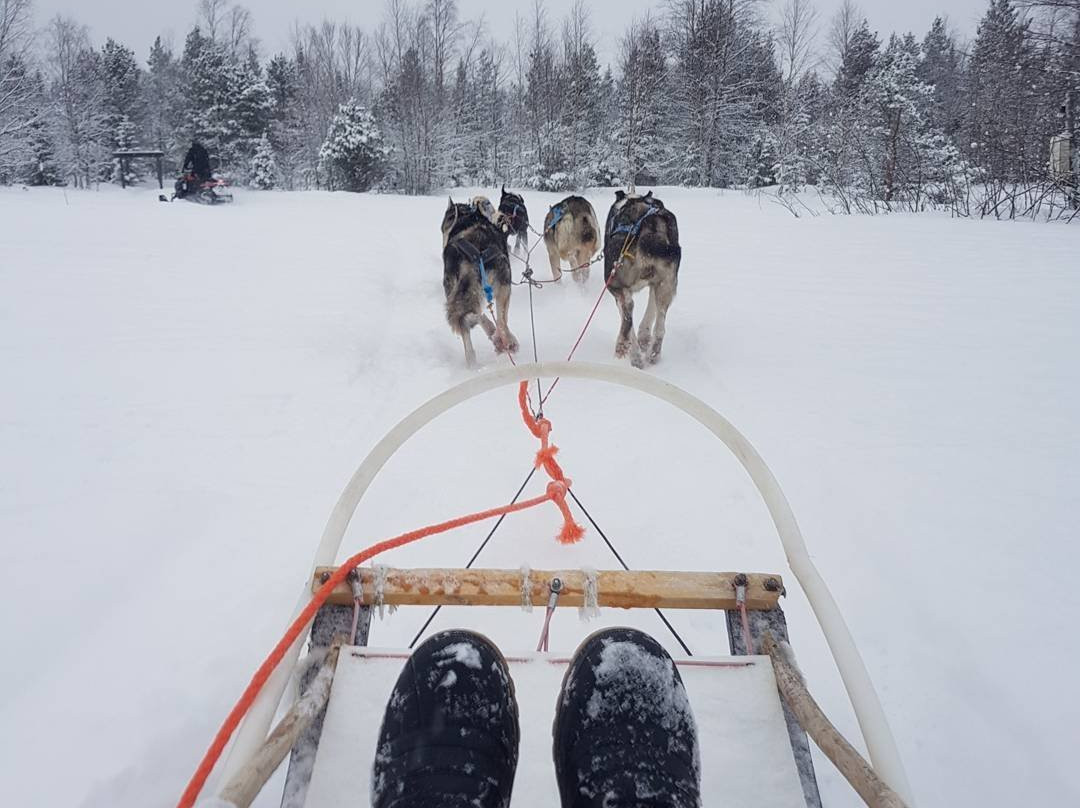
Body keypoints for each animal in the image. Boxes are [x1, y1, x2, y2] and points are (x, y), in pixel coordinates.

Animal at [442, 198, 518, 365]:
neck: (467, 218)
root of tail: (477, 254)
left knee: (466, 322)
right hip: (504, 287)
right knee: (501, 321)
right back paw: (506, 341)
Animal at [604, 191, 678, 367]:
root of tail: (651, 223)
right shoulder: (656, 283)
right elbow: (651, 309)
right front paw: (644, 339)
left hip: (613, 280)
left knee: (628, 308)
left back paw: (629, 350)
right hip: (666, 285)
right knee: (660, 326)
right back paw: (654, 353)